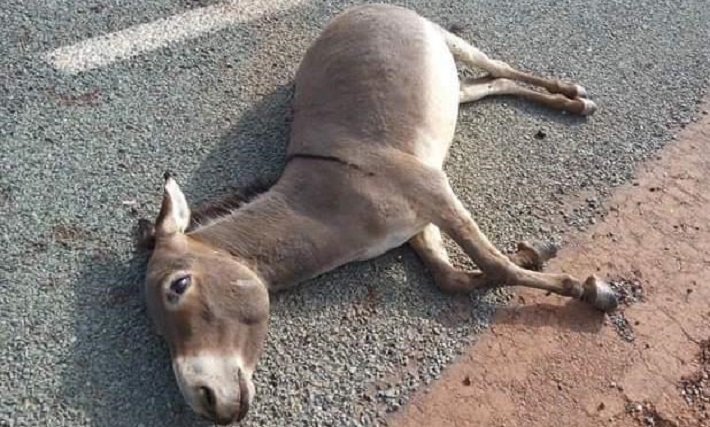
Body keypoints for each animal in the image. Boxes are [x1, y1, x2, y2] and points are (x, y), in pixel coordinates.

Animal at [137, 3, 618, 425]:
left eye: (178, 286)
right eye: (158, 334)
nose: (206, 402)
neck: (328, 194)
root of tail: (352, 11)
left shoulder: (432, 190)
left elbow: (494, 265)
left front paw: (588, 290)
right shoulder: (416, 225)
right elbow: (450, 277)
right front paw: (533, 254)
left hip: (445, 38)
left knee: (498, 66)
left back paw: (572, 97)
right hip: (448, 86)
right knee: (485, 84)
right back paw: (568, 103)